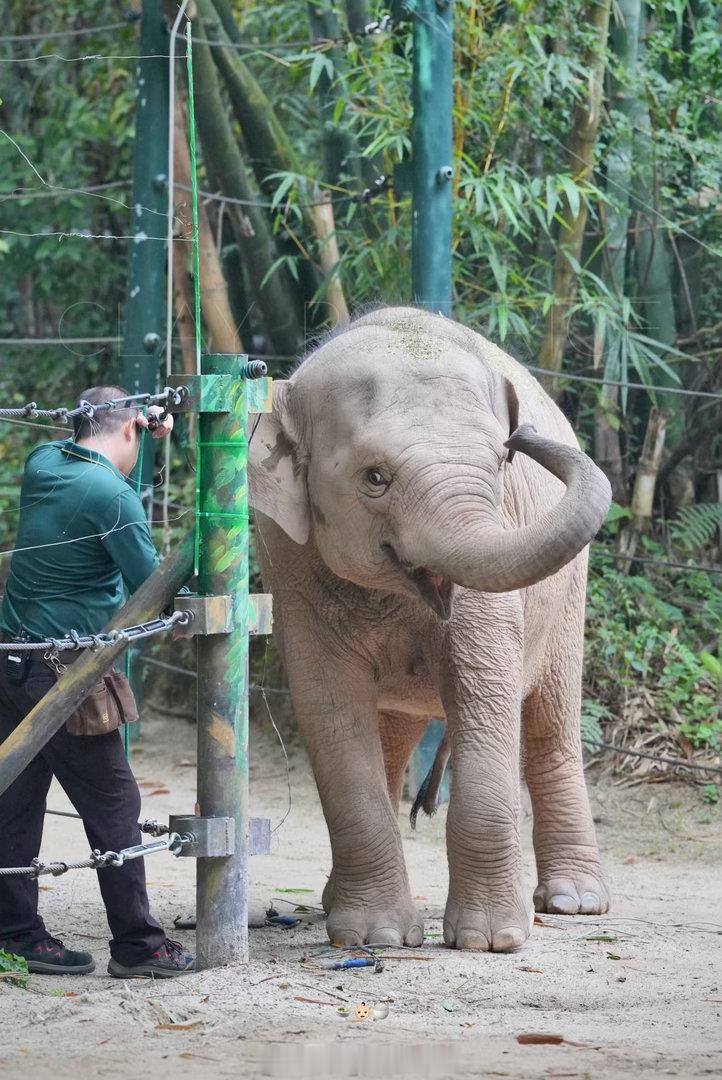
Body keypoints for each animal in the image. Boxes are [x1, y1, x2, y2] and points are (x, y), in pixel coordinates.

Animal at [248, 306, 612, 952]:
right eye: (374, 477)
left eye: (501, 462)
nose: (523, 435)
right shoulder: (289, 561)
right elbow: (328, 703)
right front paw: (375, 937)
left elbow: (485, 686)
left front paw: (491, 941)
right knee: (392, 732)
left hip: (571, 595)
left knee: (550, 720)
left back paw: (574, 902)